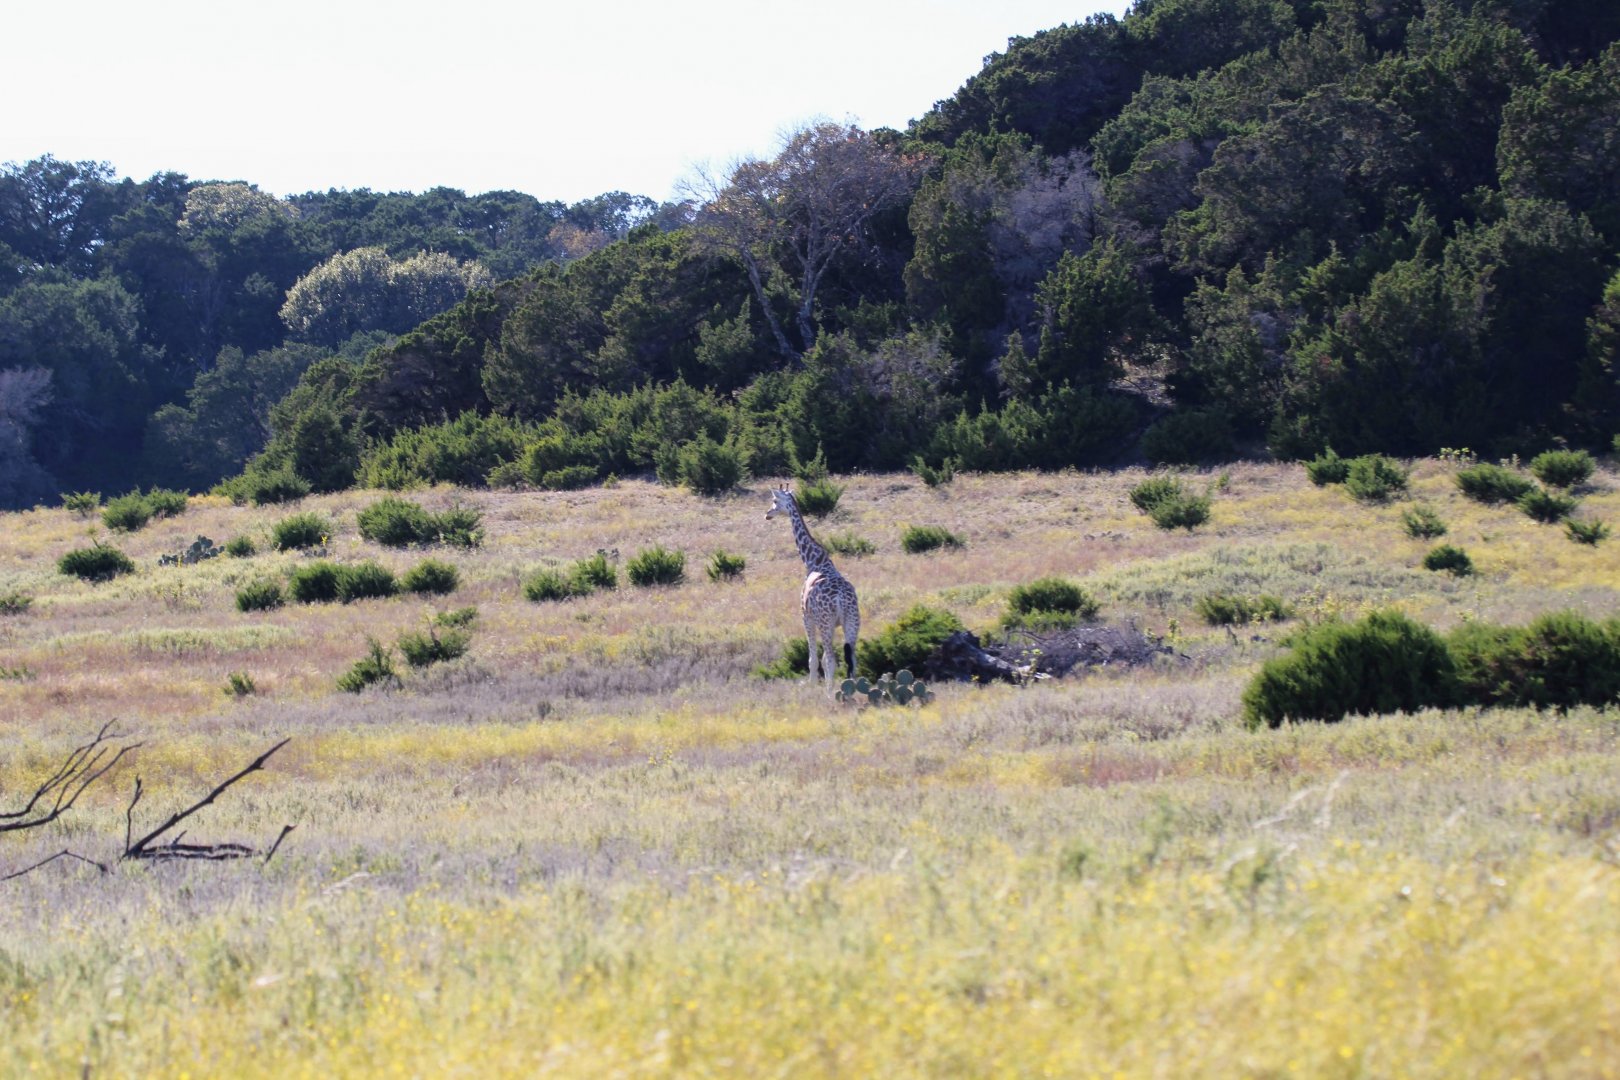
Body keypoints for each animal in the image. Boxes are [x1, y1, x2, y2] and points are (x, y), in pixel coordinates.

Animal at [766, 484, 860, 693]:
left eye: (775, 501)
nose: (767, 514)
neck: (813, 561)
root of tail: (841, 599)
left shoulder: (806, 617)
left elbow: (814, 659)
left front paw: (812, 686)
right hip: (852, 621)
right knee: (852, 658)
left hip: (826, 624)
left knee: (832, 659)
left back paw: (829, 693)